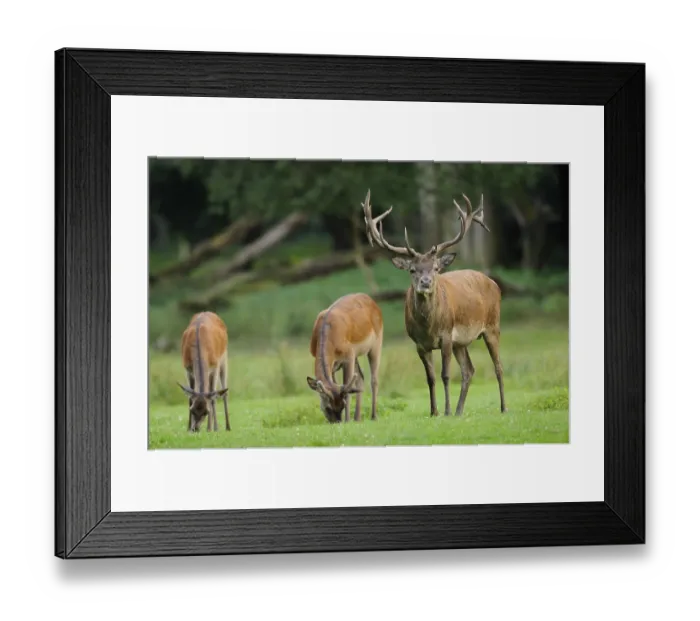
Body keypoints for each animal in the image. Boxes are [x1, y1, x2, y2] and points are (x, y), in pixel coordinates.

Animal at [306, 292, 384, 424]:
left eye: (342, 406)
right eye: (327, 407)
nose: (337, 422)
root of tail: (373, 302)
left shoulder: (349, 354)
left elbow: (347, 388)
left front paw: (347, 420)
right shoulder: (335, 363)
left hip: (377, 342)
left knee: (374, 379)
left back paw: (373, 416)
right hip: (356, 354)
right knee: (360, 377)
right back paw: (357, 418)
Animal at [361, 189, 507, 418]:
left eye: (436, 268)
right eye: (412, 269)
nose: (426, 282)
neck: (429, 327)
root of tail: (495, 284)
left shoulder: (446, 335)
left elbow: (445, 374)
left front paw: (445, 410)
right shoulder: (419, 344)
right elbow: (429, 378)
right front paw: (434, 411)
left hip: (493, 325)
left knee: (498, 366)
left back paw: (503, 407)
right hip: (461, 342)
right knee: (469, 369)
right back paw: (459, 411)